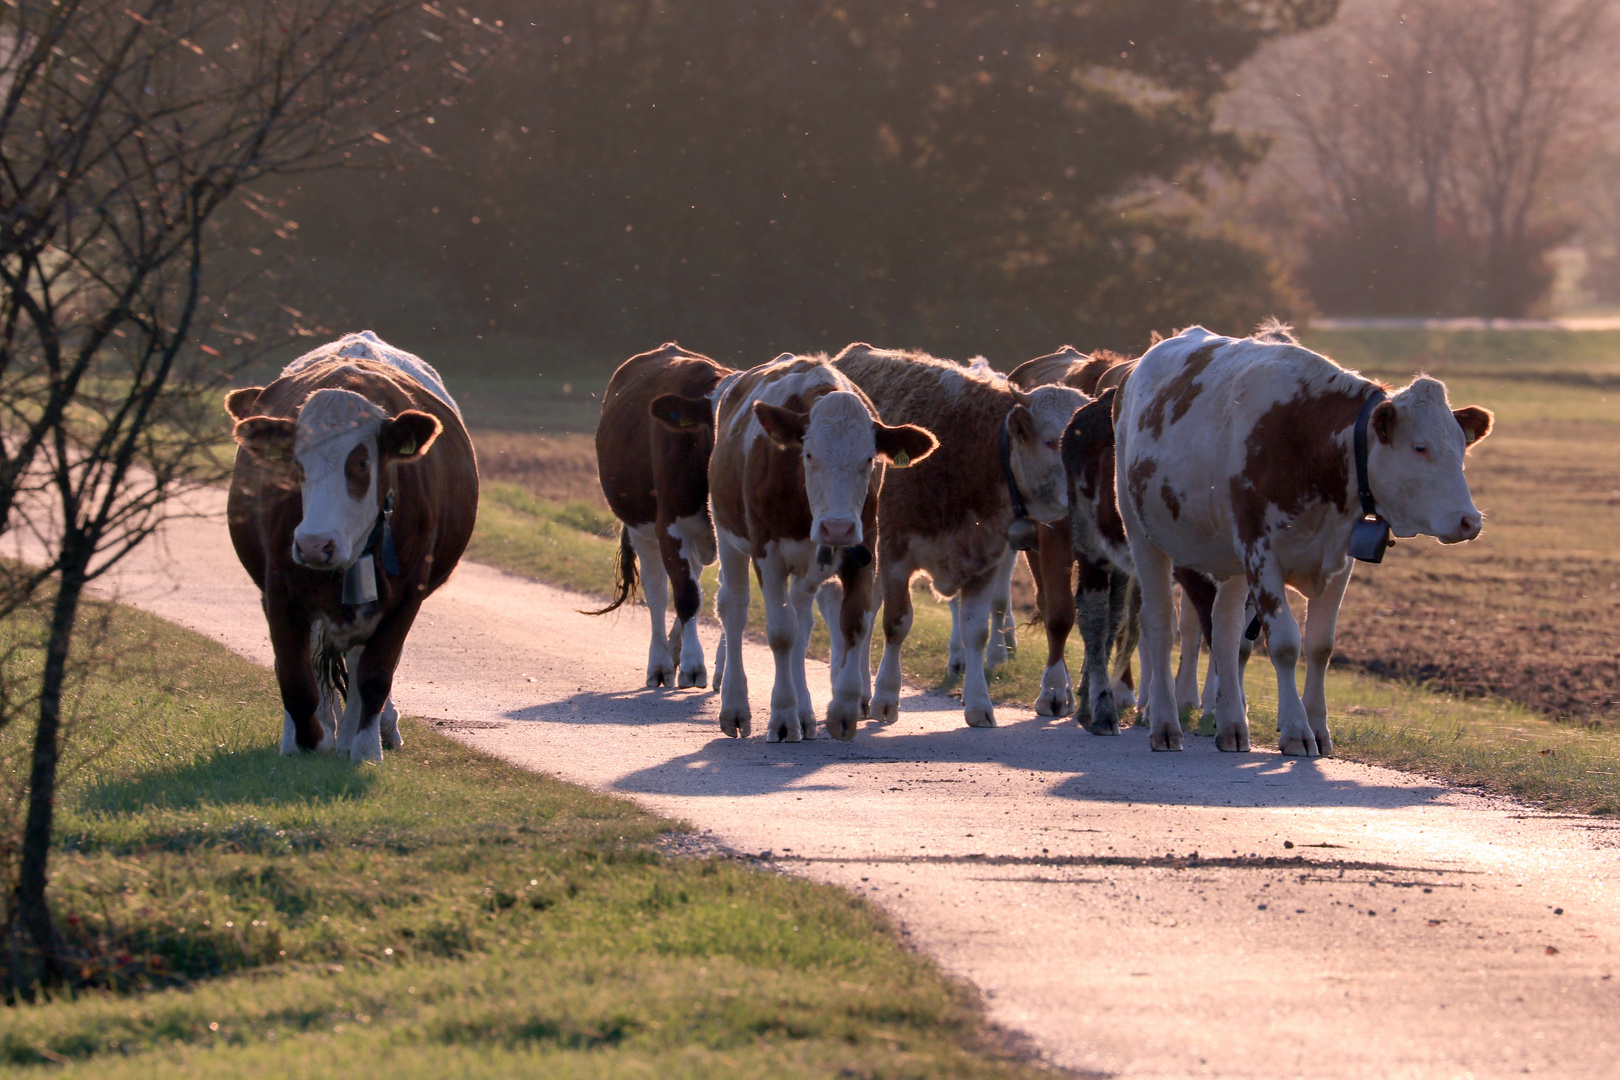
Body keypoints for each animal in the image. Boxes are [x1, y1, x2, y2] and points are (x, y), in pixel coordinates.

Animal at [228, 333, 479, 764]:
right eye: (296, 464)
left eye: (361, 463)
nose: (315, 544)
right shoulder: (280, 590)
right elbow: (294, 676)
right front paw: (305, 739)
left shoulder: (405, 597)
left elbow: (375, 673)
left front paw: (363, 748)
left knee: (362, 665)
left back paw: (358, 733)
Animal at [589, 341, 735, 689]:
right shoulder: (669, 526)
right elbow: (686, 596)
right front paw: (694, 665)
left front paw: (723, 671)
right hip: (641, 528)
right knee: (657, 592)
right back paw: (660, 664)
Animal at [696, 354, 939, 744]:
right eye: (808, 455)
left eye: (869, 459)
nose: (836, 527)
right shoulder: (768, 553)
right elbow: (781, 633)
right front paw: (782, 715)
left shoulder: (863, 550)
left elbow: (853, 622)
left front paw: (842, 710)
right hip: (726, 531)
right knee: (734, 609)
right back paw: (735, 707)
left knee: (802, 618)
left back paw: (806, 713)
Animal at [835, 341, 1088, 731]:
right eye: (1050, 441)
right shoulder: (895, 553)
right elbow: (896, 623)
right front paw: (886, 697)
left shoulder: (983, 559)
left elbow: (977, 632)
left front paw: (979, 704)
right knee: (865, 612)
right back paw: (860, 692)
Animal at [1114, 325, 1490, 757]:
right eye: (1420, 447)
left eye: (1461, 449)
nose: (1469, 520)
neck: (1312, 445)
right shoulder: (1260, 554)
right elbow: (1285, 643)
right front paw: (1296, 730)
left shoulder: (1340, 559)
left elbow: (1320, 644)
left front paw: (1320, 728)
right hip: (1143, 534)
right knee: (1160, 622)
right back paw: (1163, 723)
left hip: (1229, 558)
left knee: (1224, 630)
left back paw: (1231, 725)